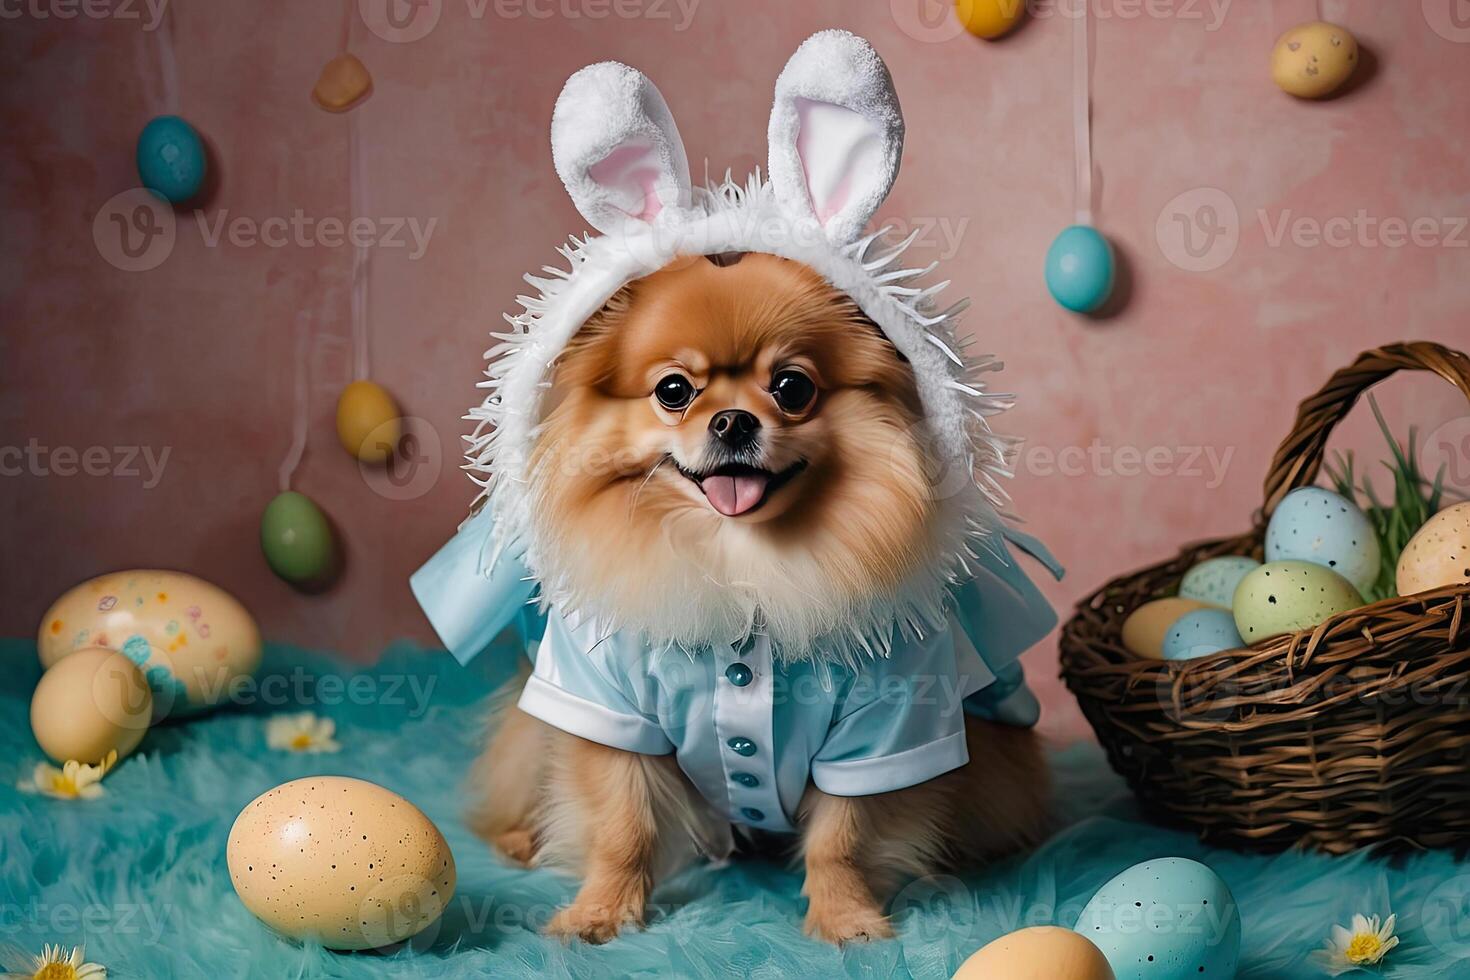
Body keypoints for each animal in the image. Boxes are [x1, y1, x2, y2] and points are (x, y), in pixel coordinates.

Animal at [464, 251, 1052, 940]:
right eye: (673, 391)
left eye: (792, 388)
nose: (732, 420)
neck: (745, 562)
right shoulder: (614, 710)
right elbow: (622, 828)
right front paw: (600, 913)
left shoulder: (887, 726)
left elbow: (842, 840)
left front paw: (846, 918)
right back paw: (520, 841)